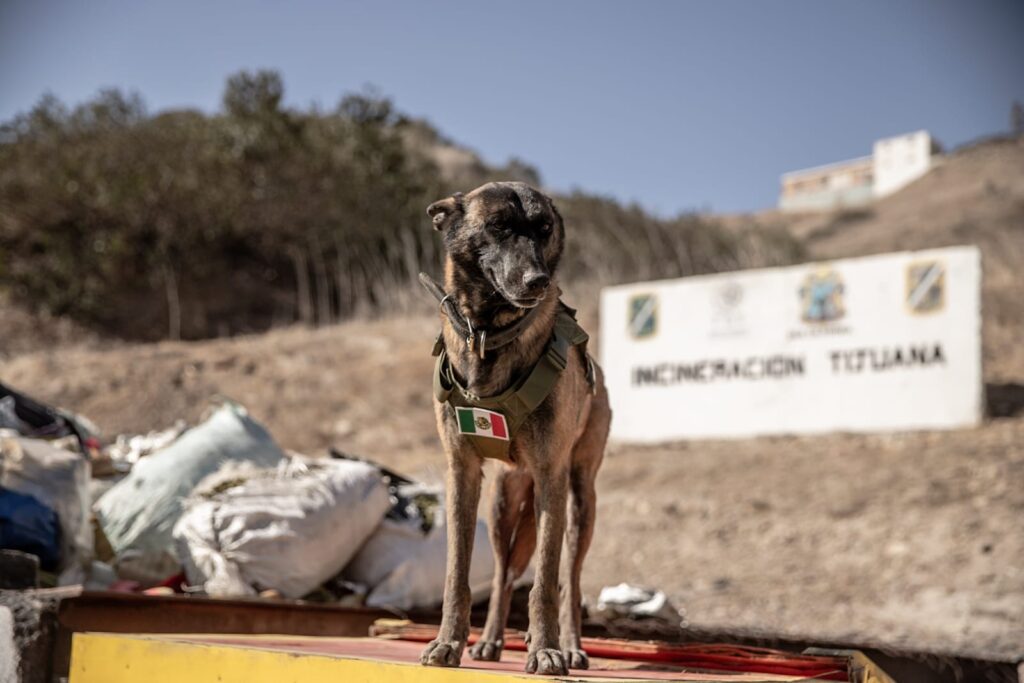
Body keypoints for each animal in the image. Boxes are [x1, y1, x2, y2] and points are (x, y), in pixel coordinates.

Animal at [415, 183, 606, 679]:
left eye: (544, 228)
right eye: (498, 226)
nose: (537, 280)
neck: (487, 335)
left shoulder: (551, 478)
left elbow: (546, 583)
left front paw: (547, 651)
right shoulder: (461, 472)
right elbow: (457, 574)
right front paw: (448, 643)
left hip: (579, 501)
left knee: (570, 579)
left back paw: (571, 646)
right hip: (503, 503)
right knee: (503, 575)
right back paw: (490, 641)